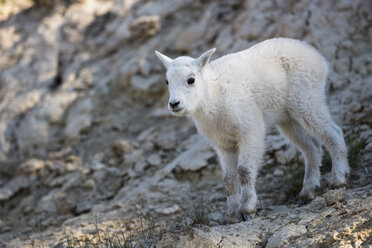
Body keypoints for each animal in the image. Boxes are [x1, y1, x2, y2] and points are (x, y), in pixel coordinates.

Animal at [154, 38, 348, 223]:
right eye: (167, 81)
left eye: (191, 80)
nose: (174, 104)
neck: (213, 95)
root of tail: (321, 60)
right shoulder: (223, 143)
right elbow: (228, 179)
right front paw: (230, 215)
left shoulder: (250, 129)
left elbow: (244, 171)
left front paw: (247, 210)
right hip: (288, 117)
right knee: (312, 147)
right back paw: (307, 192)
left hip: (307, 100)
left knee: (334, 133)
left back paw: (338, 179)